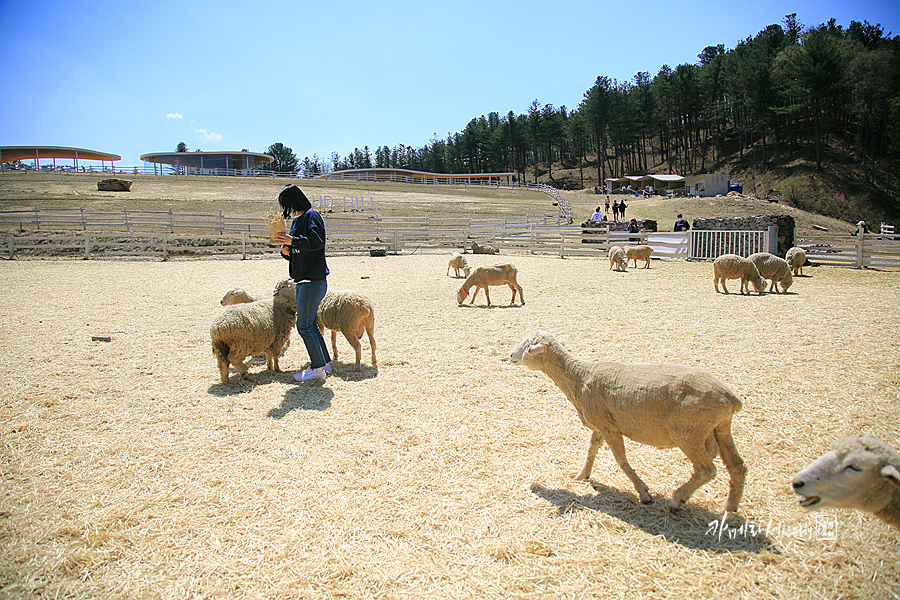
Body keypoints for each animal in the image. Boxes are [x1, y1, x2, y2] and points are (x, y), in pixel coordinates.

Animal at [510, 328, 748, 510]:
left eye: (529, 345)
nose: (511, 355)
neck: (580, 376)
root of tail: (731, 398)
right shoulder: (600, 423)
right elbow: (592, 449)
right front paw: (582, 475)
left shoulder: (610, 426)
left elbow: (620, 459)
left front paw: (643, 492)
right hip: (720, 427)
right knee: (737, 466)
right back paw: (729, 509)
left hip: (688, 431)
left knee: (707, 469)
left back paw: (677, 499)